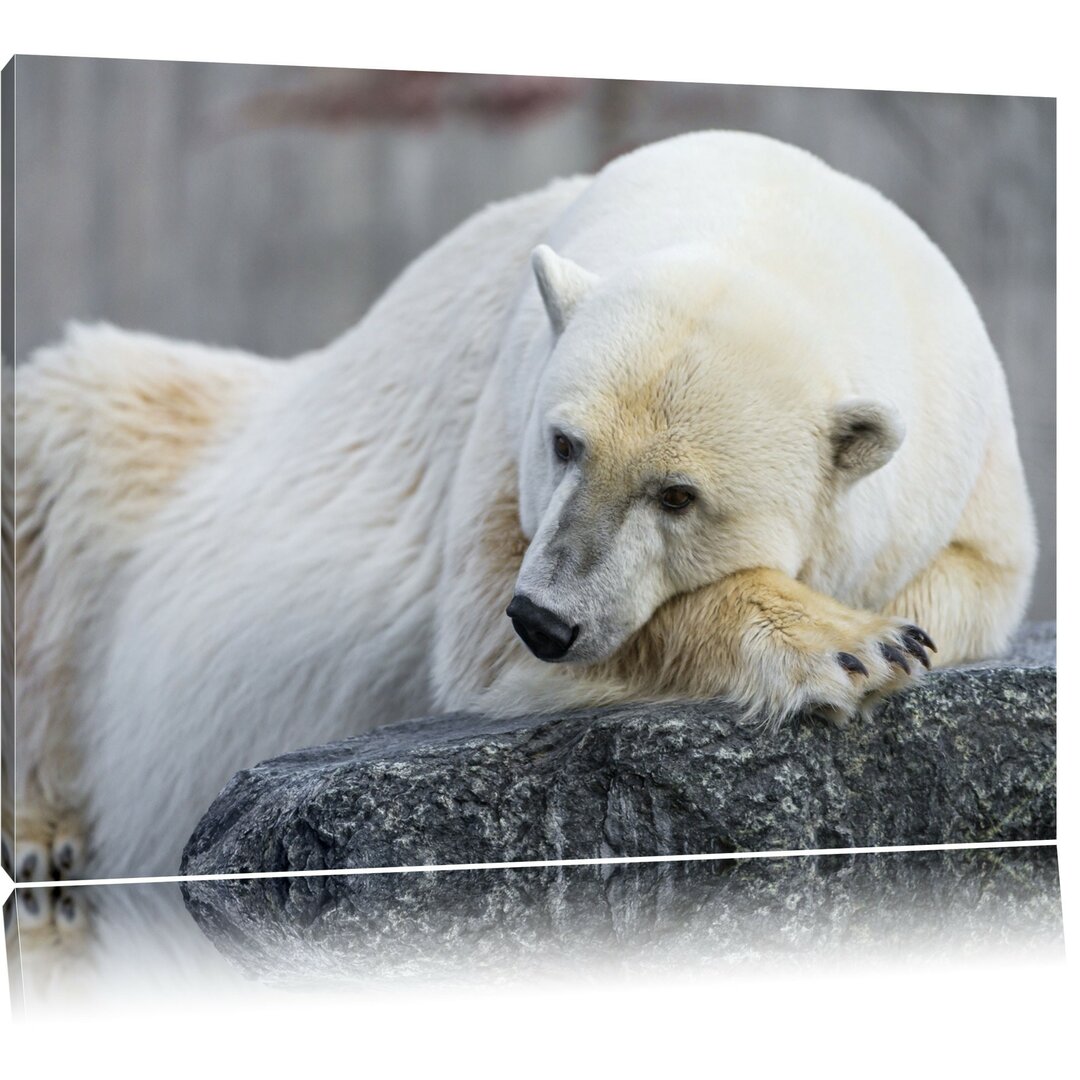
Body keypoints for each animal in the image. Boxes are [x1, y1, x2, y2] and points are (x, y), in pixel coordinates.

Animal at [8, 130, 1036, 881]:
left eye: (679, 495)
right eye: (564, 442)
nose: (546, 618)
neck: (774, 213)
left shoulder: (964, 446)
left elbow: (971, 576)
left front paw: (889, 631)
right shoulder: (501, 420)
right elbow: (480, 639)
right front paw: (847, 645)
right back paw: (39, 829)